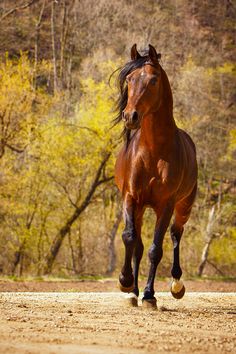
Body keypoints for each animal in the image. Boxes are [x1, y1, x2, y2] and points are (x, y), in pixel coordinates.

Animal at [114, 44, 197, 306]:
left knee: (175, 234)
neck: (153, 150)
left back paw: (176, 284)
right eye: (129, 79)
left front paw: (150, 295)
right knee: (138, 245)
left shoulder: (165, 204)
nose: (130, 116)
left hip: (184, 206)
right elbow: (130, 238)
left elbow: (156, 249)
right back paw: (133, 290)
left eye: (153, 80)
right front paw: (126, 282)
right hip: (141, 208)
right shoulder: (131, 198)